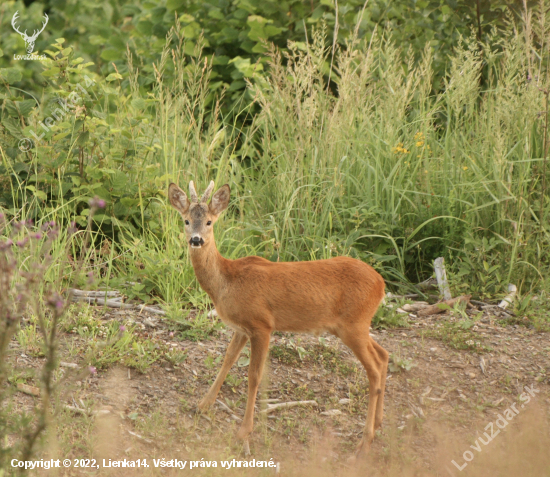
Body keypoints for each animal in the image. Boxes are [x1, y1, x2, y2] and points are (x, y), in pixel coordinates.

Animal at [170, 180, 390, 456]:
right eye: (186, 220)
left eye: (209, 221)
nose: (196, 240)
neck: (227, 281)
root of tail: (381, 283)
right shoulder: (241, 328)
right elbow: (227, 360)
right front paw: (202, 405)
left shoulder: (262, 325)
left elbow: (254, 376)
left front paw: (244, 432)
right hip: (358, 325)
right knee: (383, 355)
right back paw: (378, 424)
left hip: (353, 325)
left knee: (373, 369)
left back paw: (364, 442)